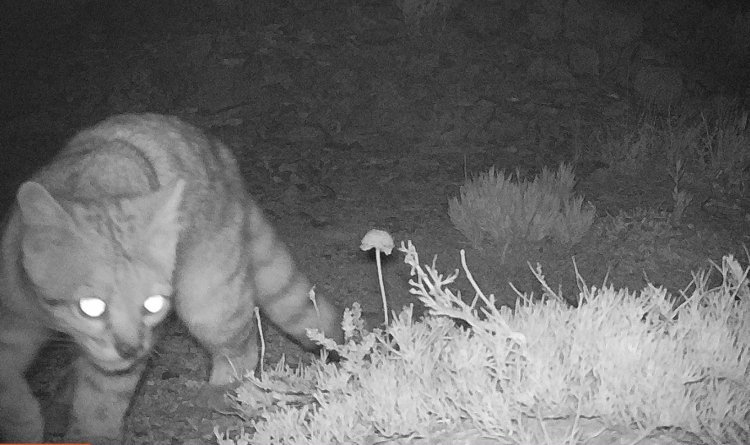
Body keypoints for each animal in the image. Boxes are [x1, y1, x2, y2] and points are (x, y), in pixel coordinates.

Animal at [0, 112, 346, 442]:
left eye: (153, 304)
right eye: (90, 306)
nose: (131, 350)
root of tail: (221, 155)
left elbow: (100, 402)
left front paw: (89, 434)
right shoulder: (11, 319)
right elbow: (11, 388)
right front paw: (24, 422)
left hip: (207, 296)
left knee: (242, 344)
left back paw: (222, 389)